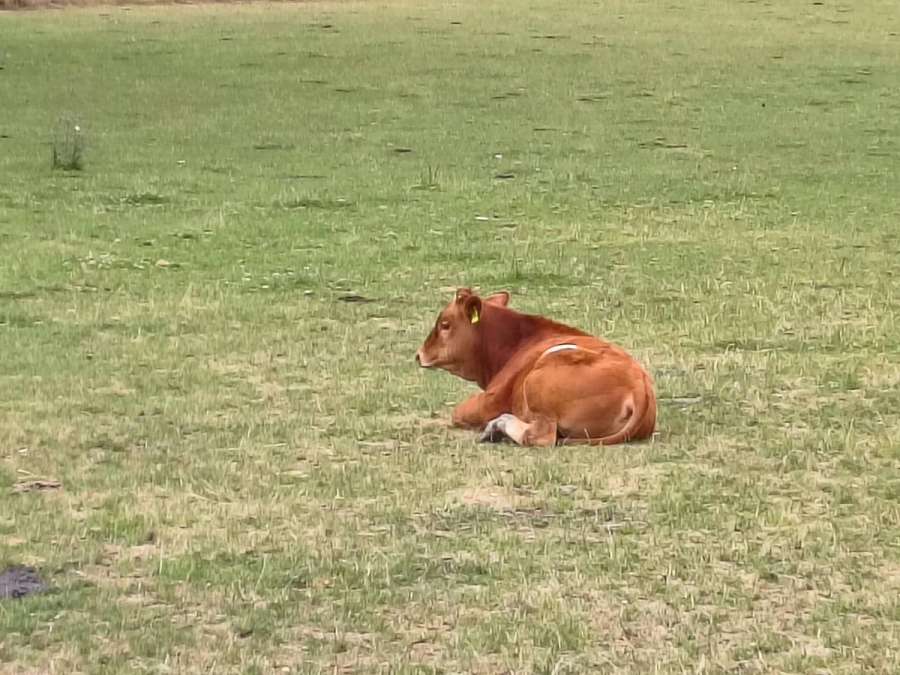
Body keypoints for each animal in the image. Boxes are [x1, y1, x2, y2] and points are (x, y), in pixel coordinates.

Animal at [415, 288, 656, 446]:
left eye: (445, 324)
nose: (419, 355)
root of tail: (639, 386)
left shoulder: (491, 400)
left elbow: (458, 412)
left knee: (540, 436)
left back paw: (498, 426)